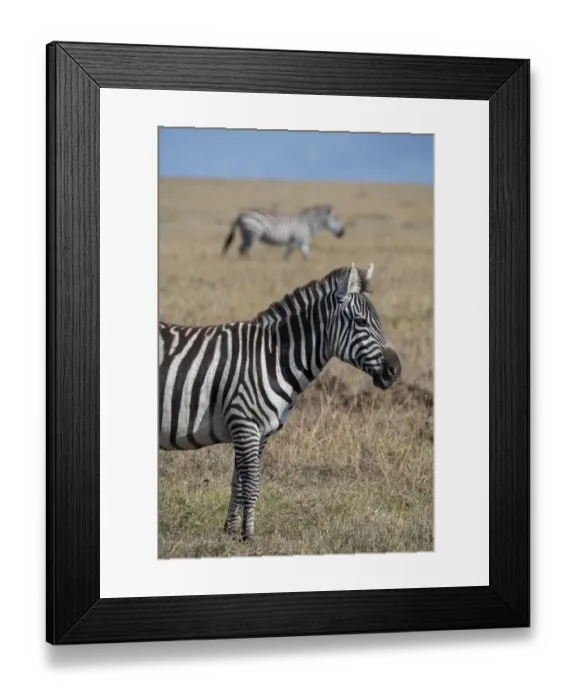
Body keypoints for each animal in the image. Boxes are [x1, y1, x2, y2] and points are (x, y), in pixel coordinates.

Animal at [159, 262, 401, 541]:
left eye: (379, 321)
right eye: (361, 322)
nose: (396, 370)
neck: (272, 356)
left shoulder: (258, 431)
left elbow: (238, 482)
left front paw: (232, 533)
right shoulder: (245, 423)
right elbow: (252, 484)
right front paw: (249, 537)